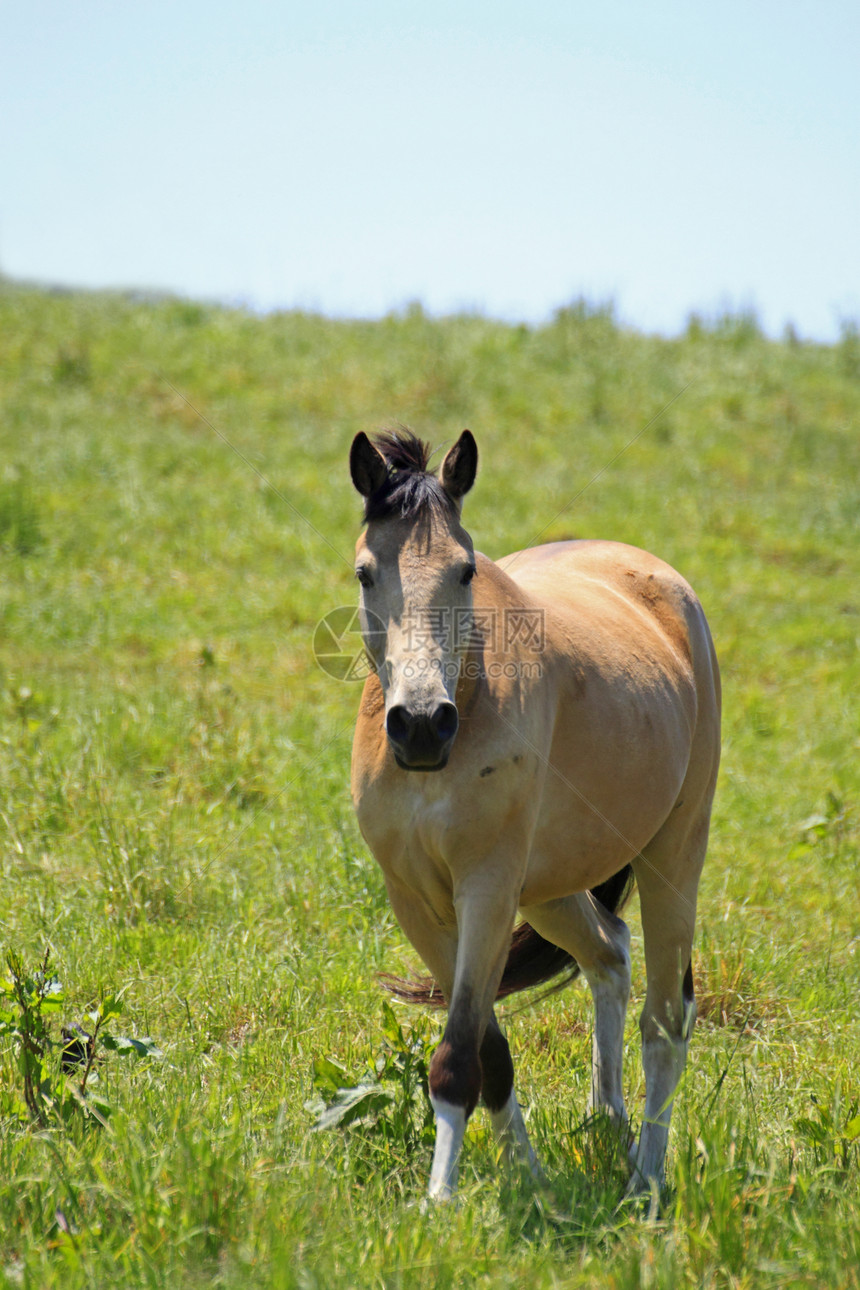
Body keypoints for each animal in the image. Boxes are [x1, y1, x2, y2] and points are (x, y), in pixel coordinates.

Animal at [348, 428, 722, 1202]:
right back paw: (608, 1121)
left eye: (464, 571)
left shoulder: (486, 891)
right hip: (550, 889)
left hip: (674, 855)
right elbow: (489, 1053)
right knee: (610, 954)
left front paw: (439, 1200)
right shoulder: (419, 903)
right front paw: (530, 1182)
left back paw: (644, 1181)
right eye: (367, 572)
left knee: (665, 1023)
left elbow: (458, 1057)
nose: (420, 725)